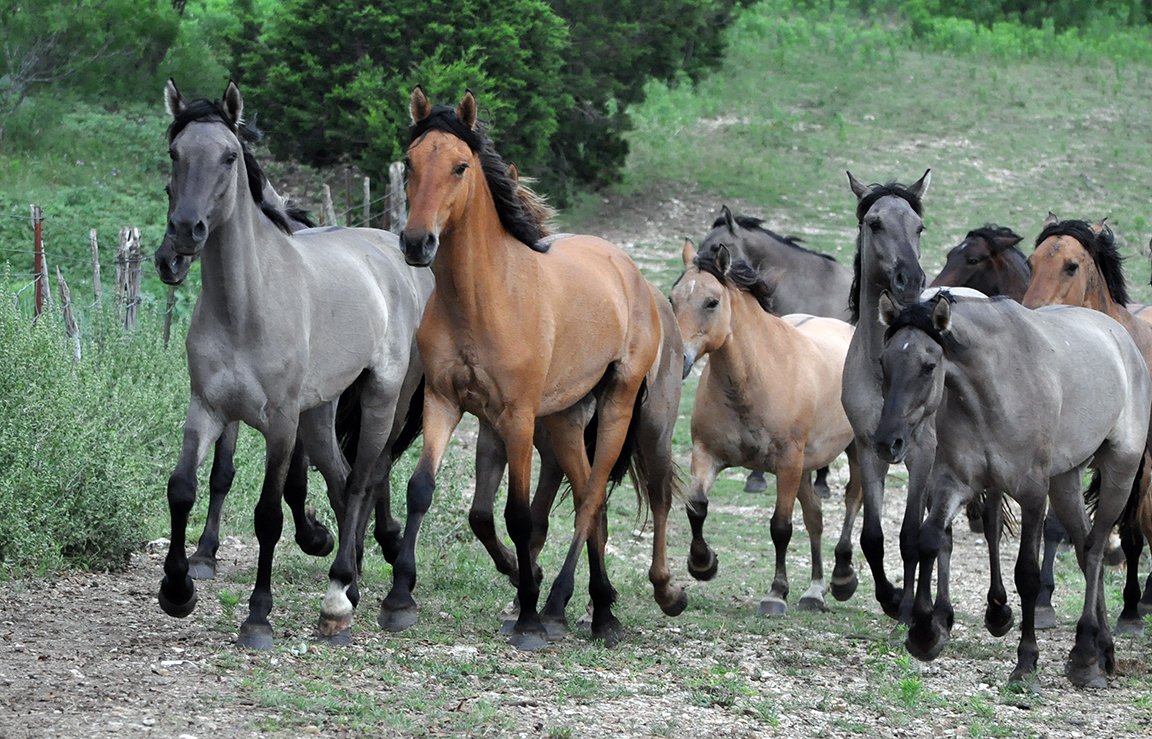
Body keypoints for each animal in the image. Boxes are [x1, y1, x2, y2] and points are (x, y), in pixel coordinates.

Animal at [155, 80, 433, 649]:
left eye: (229, 155)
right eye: (175, 153)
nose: (186, 233)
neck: (246, 306)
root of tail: (395, 254)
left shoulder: (280, 424)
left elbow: (268, 513)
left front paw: (258, 617)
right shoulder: (207, 408)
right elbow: (182, 488)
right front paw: (177, 589)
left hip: (380, 398)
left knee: (362, 481)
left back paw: (341, 597)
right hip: (321, 412)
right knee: (343, 480)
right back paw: (350, 581)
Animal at [386, 87, 666, 649]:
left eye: (460, 166)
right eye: (411, 161)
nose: (417, 242)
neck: (485, 299)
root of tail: (631, 274)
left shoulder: (514, 418)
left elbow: (517, 515)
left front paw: (529, 618)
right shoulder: (444, 404)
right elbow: (421, 490)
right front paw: (399, 598)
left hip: (616, 405)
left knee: (591, 499)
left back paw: (566, 607)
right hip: (564, 421)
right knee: (589, 500)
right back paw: (596, 607)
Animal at [670, 240, 861, 614]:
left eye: (711, 302)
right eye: (672, 299)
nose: (679, 359)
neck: (753, 379)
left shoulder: (787, 464)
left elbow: (780, 527)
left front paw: (775, 593)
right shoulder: (707, 453)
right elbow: (696, 505)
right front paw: (703, 563)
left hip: (859, 452)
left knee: (852, 500)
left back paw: (842, 578)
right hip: (805, 468)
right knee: (815, 517)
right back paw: (814, 591)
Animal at [874, 290, 1151, 686]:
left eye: (928, 366)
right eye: (884, 361)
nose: (887, 443)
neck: (992, 389)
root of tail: (1123, 340)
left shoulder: (1032, 494)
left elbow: (1028, 575)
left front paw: (1026, 662)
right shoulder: (955, 482)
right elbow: (930, 538)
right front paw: (925, 633)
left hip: (1120, 473)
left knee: (1096, 549)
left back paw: (1086, 651)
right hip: (1065, 482)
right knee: (1085, 550)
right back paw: (1101, 651)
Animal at [1022, 214, 1152, 634]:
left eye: (1071, 266)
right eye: (1030, 262)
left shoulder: (1135, 465)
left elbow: (1129, 530)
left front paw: (1129, 612)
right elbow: (1054, 526)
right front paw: (1043, 602)